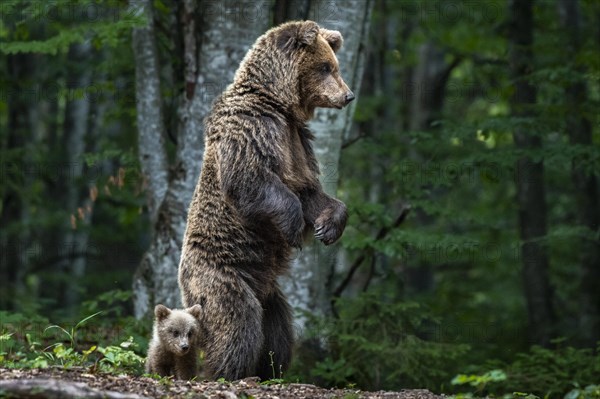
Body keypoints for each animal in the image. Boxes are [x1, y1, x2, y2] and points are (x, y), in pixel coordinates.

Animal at [180, 20, 354, 382]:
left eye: (335, 65)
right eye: (325, 67)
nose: (348, 95)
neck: (279, 104)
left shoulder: (297, 140)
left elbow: (310, 192)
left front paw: (328, 227)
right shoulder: (253, 128)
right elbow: (252, 180)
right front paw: (293, 229)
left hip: (269, 291)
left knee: (278, 331)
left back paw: (269, 369)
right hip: (221, 275)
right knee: (238, 320)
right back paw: (224, 371)